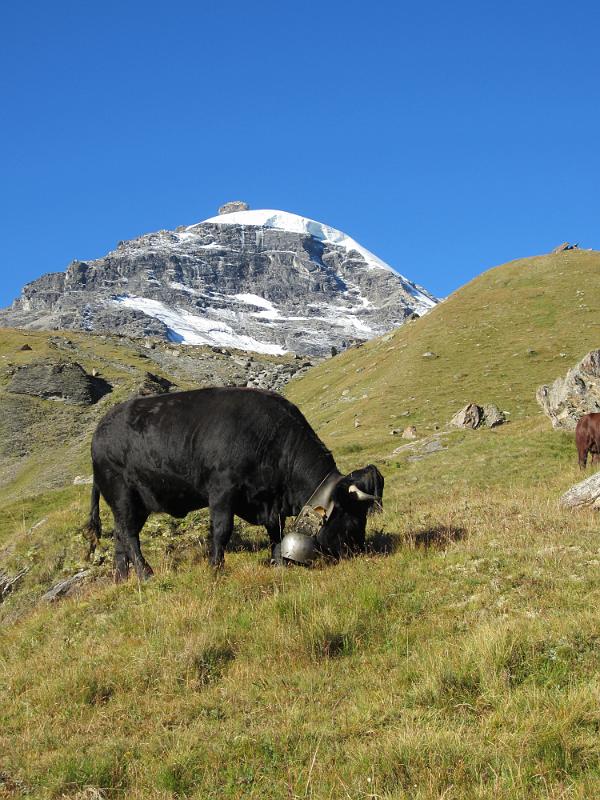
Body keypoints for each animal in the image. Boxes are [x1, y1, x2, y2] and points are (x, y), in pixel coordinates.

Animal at [85, 384, 384, 580]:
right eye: (354, 520)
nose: (362, 552)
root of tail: (99, 433)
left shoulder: (270, 500)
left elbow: (275, 530)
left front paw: (278, 561)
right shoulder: (222, 491)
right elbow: (222, 530)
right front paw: (216, 568)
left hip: (135, 503)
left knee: (121, 536)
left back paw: (122, 578)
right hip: (122, 494)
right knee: (129, 535)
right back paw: (146, 574)